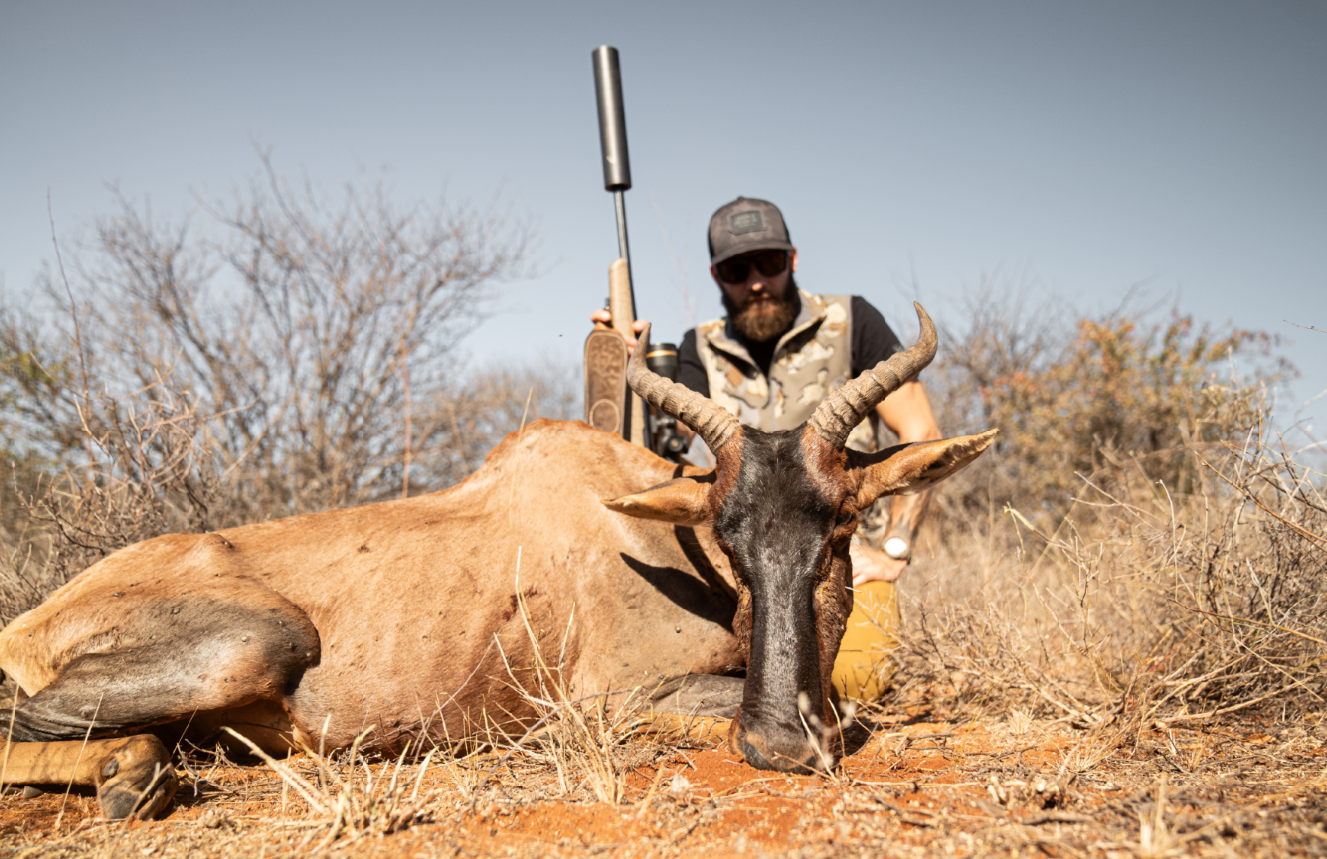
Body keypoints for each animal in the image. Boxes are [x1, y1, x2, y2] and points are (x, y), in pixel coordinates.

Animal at [0, 304, 994, 819]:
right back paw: (133, 777)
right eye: (728, 531)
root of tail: (32, 619)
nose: (781, 742)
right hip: (256, 643)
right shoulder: (605, 703)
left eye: (841, 523)